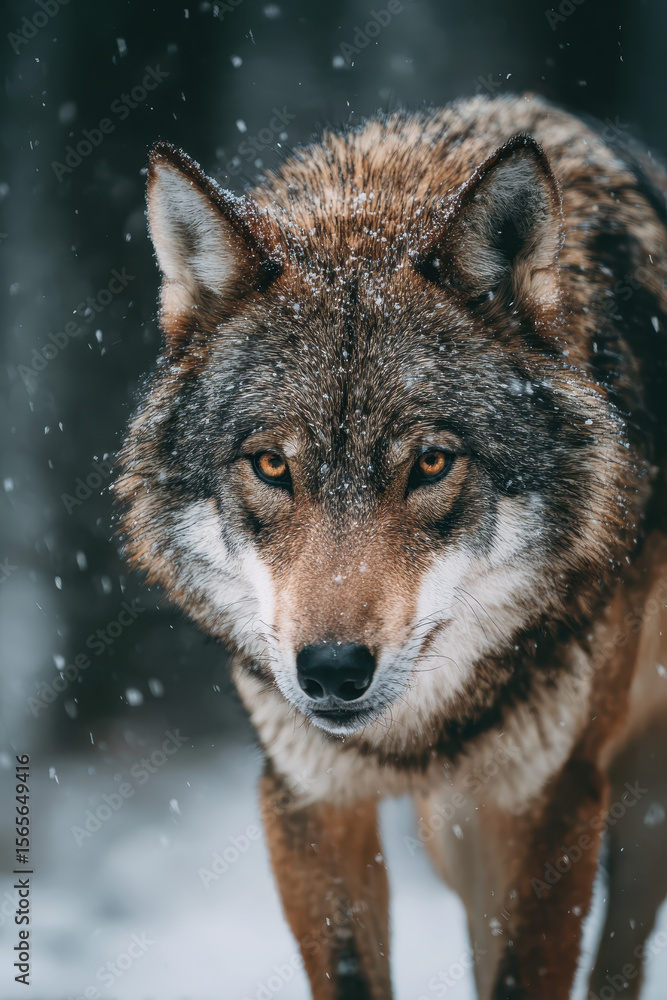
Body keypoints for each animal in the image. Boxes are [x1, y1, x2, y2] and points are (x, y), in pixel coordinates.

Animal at [116, 94, 667, 998]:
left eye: (431, 463)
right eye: (272, 465)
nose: (332, 670)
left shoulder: (552, 801)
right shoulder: (307, 798)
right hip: (456, 833)